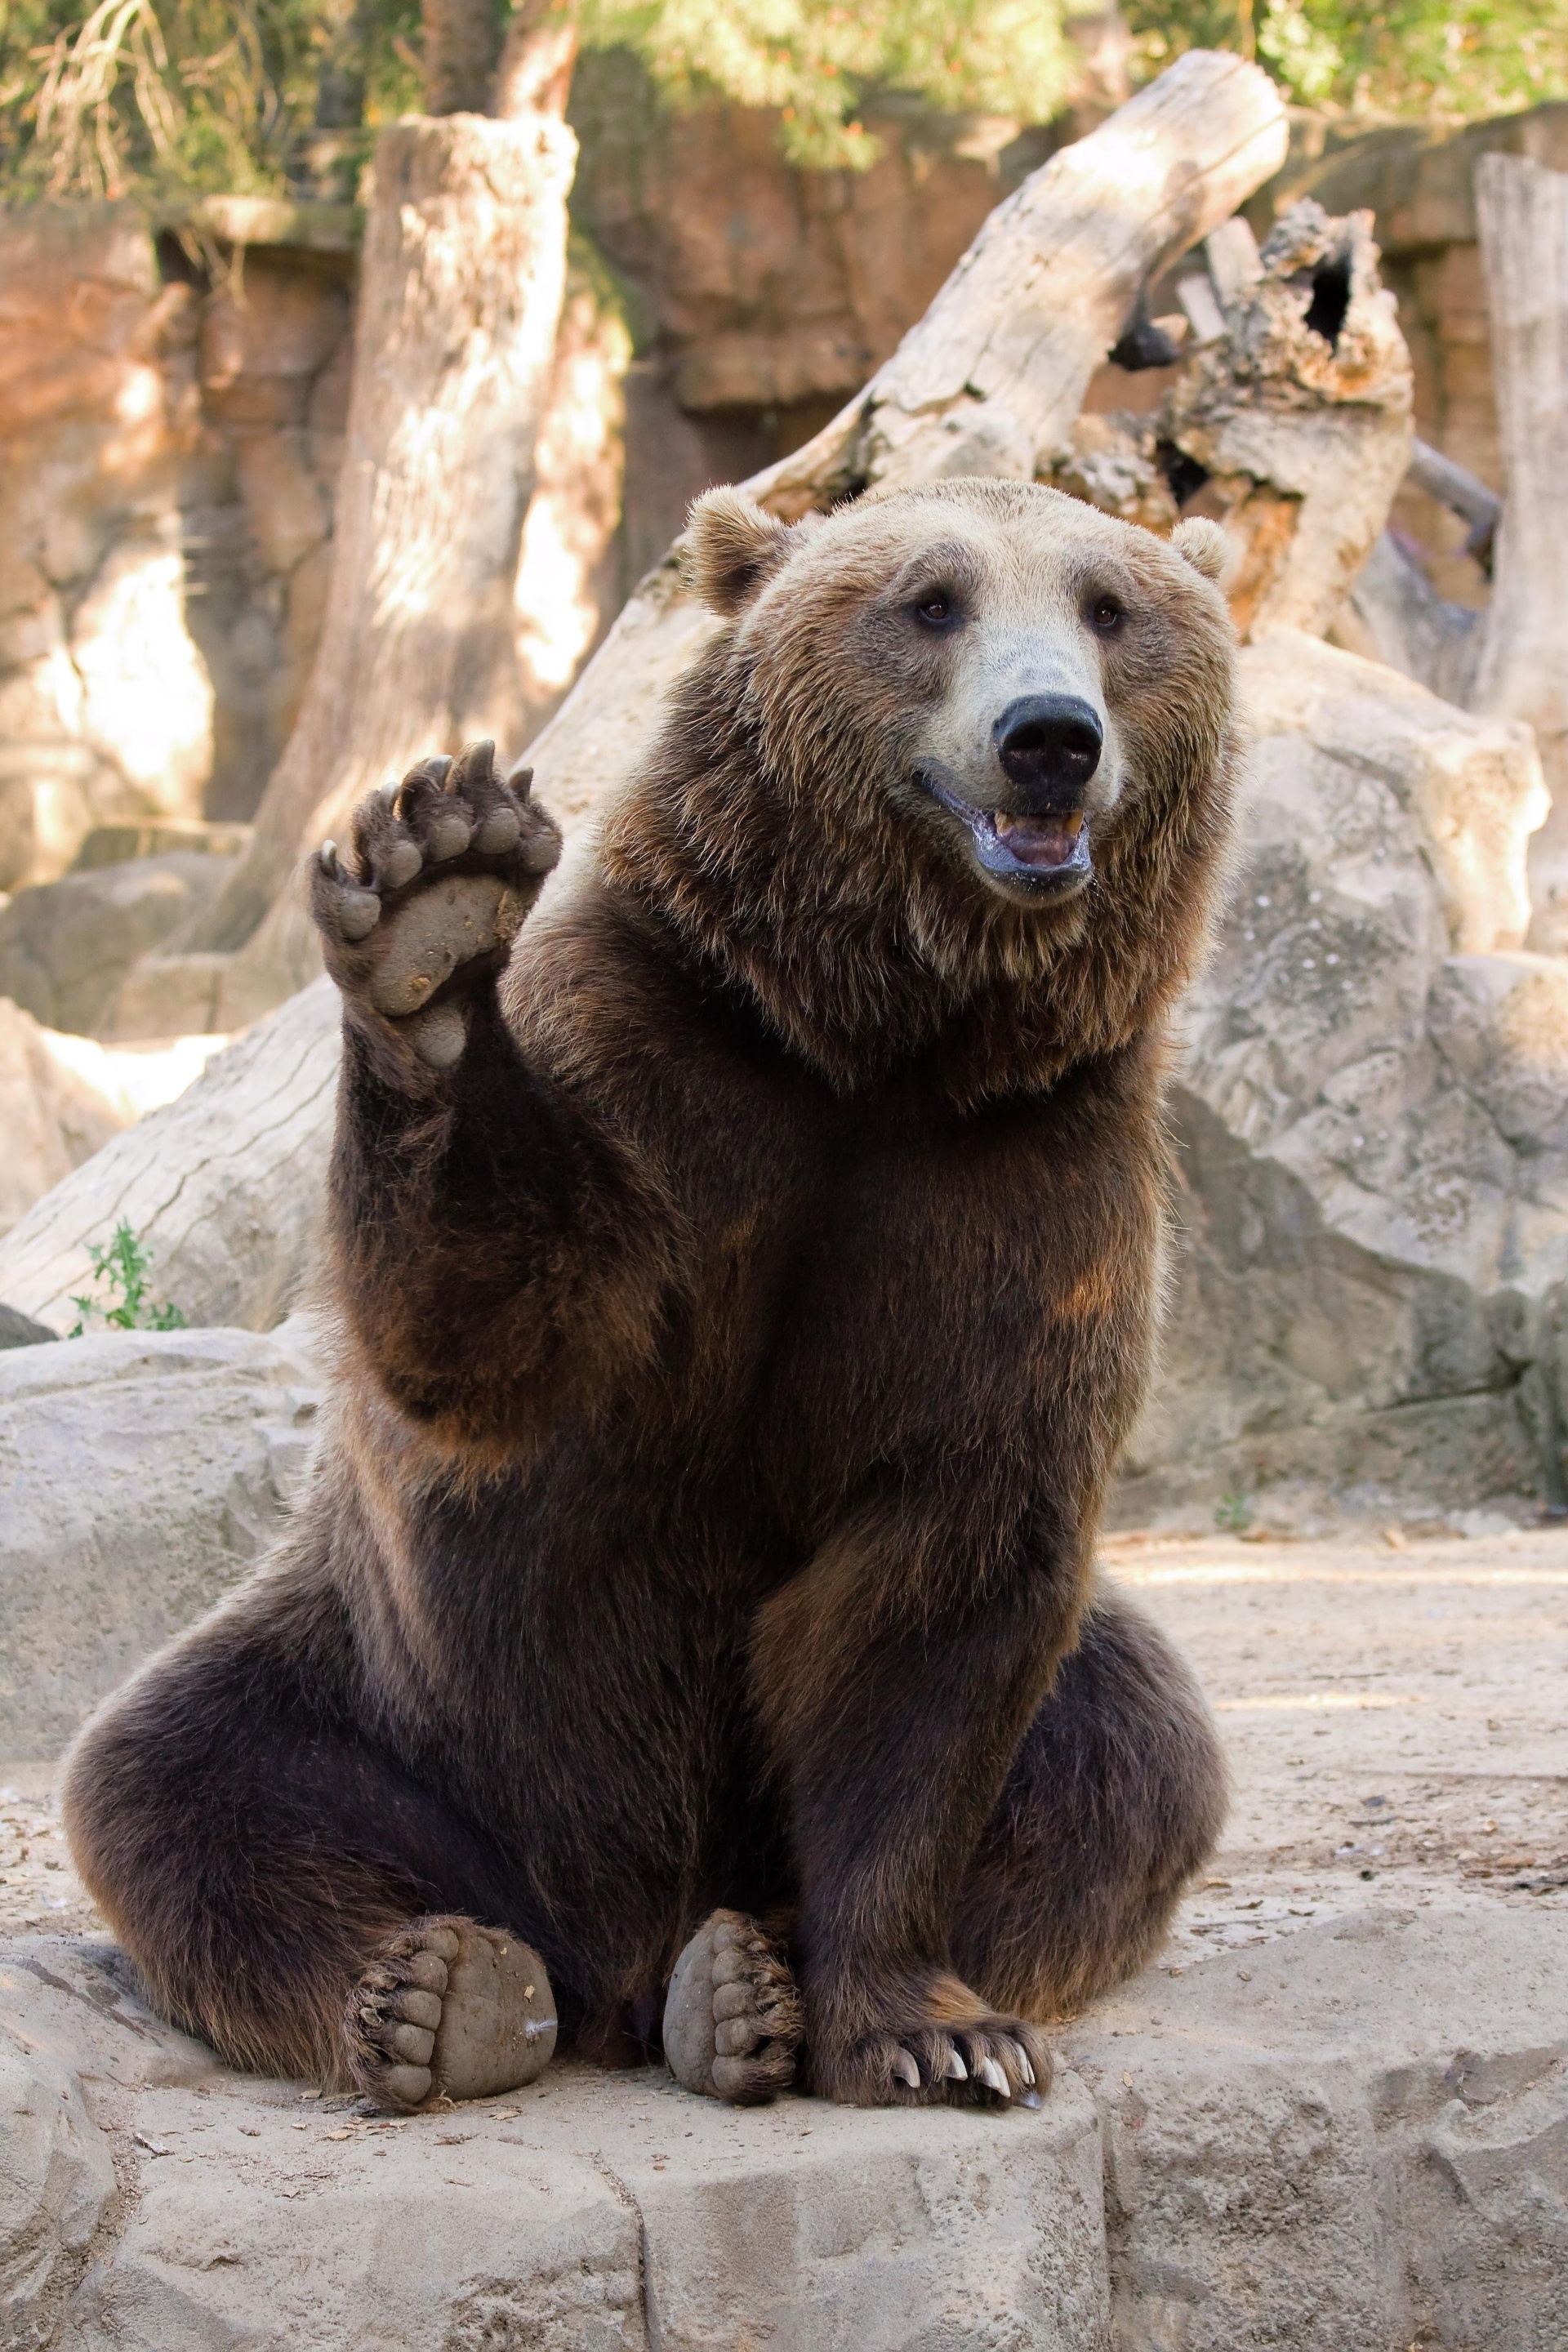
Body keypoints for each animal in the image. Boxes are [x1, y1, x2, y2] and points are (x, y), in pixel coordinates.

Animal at [61, 472, 1241, 2117]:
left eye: (1110, 607)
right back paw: (439, 1995)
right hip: (389, 1692)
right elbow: (493, 1336)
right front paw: (434, 913)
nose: (1049, 735)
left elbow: (947, 1580)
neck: (883, 1043)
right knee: (174, 1781)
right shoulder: (663, 1068)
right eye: (931, 600)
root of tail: (606, 1962)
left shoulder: (1028, 1177)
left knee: (1130, 1761)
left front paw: (932, 2029)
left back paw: (739, 1981)